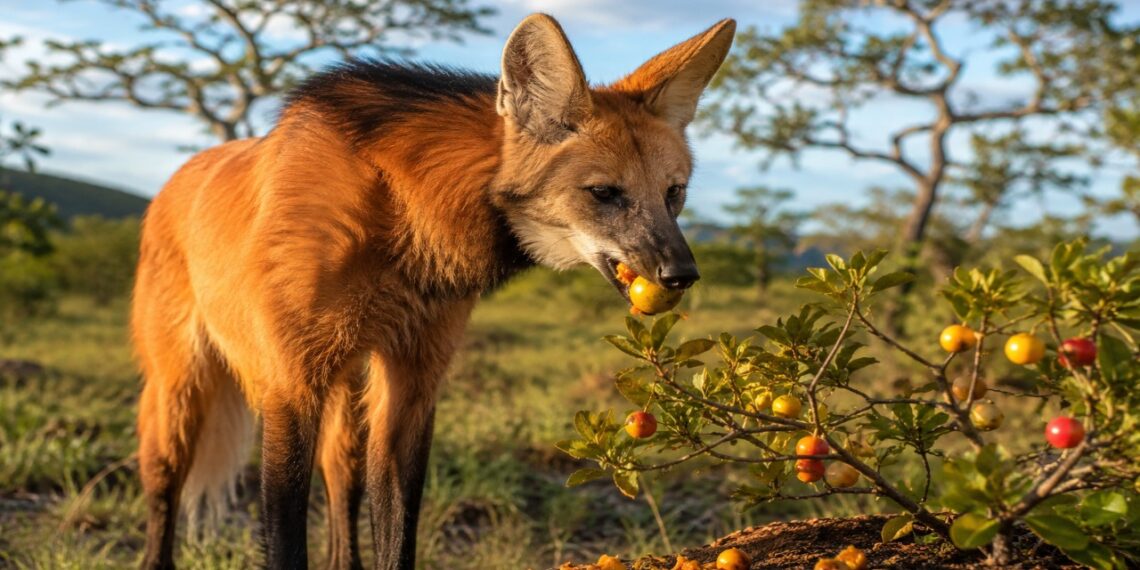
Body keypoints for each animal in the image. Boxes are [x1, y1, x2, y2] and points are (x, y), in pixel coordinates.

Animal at [132, 13, 735, 569]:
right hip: (182, 389)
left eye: (673, 193)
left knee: (342, 477)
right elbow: (285, 541)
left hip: (345, 384)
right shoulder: (291, 382)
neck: (398, 216)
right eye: (604, 193)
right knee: (164, 483)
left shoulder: (413, 380)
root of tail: (178, 175)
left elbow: (398, 533)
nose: (681, 274)